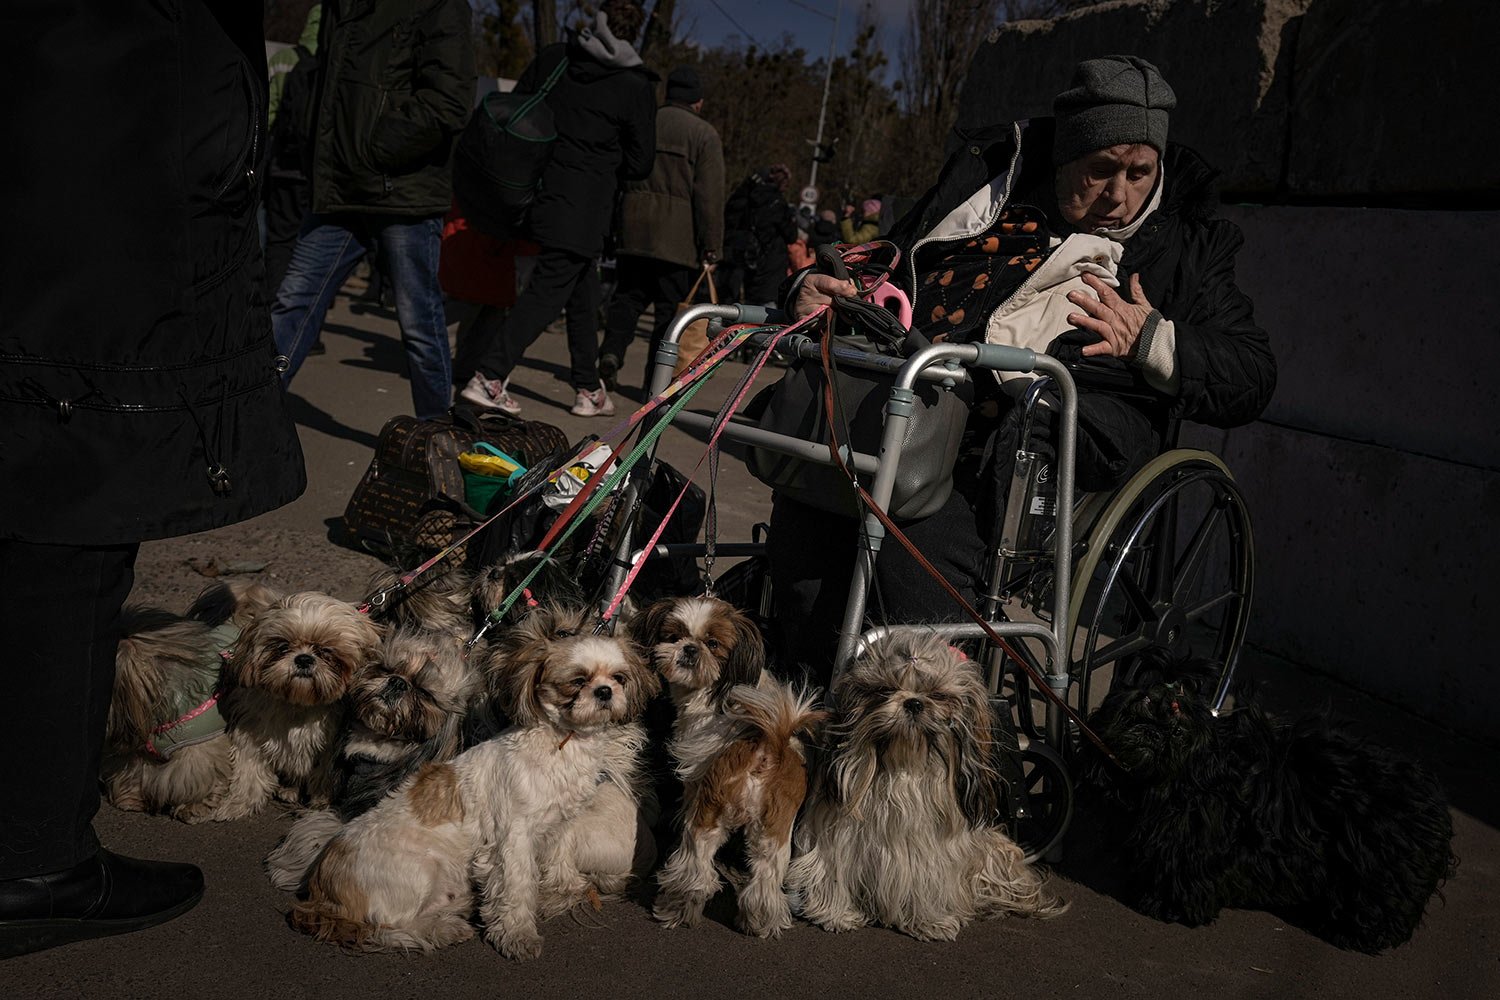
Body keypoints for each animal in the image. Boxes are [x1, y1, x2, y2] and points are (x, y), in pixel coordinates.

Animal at [214, 593, 384, 821]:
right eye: (283, 647)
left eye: (326, 650)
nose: (304, 659)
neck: (299, 704)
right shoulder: (250, 732)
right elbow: (249, 771)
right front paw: (237, 803)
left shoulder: (329, 749)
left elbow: (323, 776)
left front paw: (320, 804)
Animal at [289, 605, 660, 959]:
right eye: (578, 680)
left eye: (619, 677)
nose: (604, 691)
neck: (562, 744)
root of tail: (321, 892)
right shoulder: (513, 839)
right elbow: (515, 888)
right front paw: (518, 936)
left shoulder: (560, 825)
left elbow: (559, 861)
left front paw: (563, 887)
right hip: (422, 871)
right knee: (383, 929)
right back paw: (442, 929)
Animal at [630, 593, 828, 941]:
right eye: (674, 636)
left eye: (712, 643)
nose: (689, 649)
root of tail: (767, 749)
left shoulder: (696, 785)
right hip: (774, 835)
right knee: (763, 884)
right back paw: (760, 924)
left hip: (708, 819)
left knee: (695, 874)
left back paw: (674, 911)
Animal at [786, 632, 1068, 941]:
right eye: (885, 690)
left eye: (938, 695)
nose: (913, 703)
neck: (903, 763)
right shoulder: (839, 837)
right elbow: (835, 871)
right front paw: (837, 914)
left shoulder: (930, 854)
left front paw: (930, 921)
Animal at [1086, 650, 1458, 953]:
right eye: (1133, 715)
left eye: (1178, 731)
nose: (1152, 733)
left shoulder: (1197, 838)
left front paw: (1166, 905)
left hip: (1376, 867)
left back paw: (1356, 933)